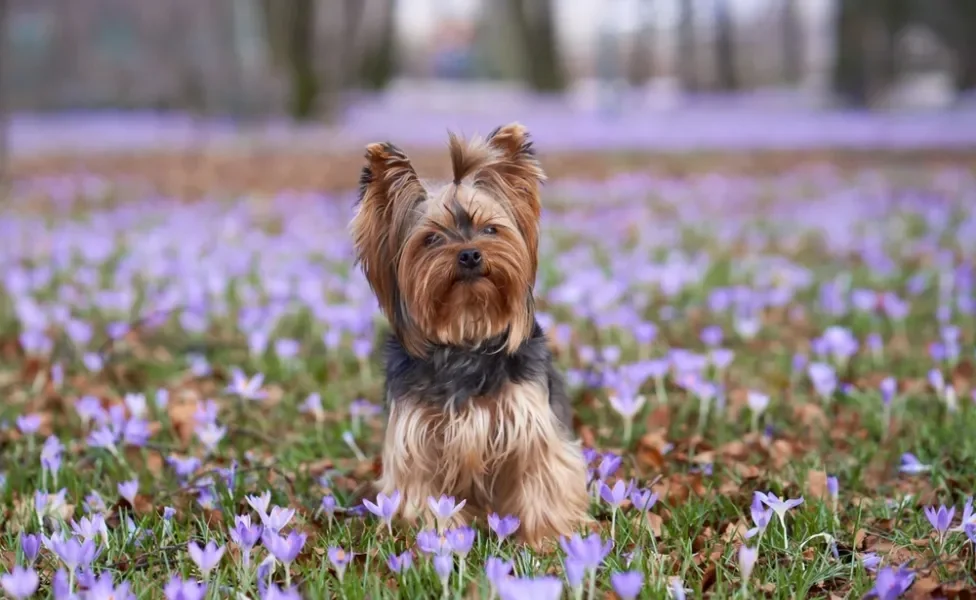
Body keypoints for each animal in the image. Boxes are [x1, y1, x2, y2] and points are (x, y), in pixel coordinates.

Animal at [352, 122, 592, 544]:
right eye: (431, 238)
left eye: (490, 229)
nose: (469, 254)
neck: (466, 333)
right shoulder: (418, 440)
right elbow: (424, 493)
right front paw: (440, 541)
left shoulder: (529, 425)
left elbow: (542, 476)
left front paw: (546, 539)